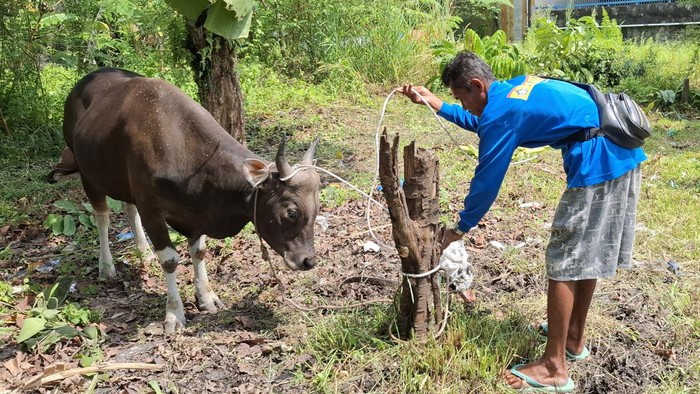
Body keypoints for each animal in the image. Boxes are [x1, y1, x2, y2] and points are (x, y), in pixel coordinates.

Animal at [60, 68, 322, 332]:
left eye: (317, 208)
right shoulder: (152, 211)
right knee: (102, 217)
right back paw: (106, 267)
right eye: (292, 212)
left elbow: (199, 251)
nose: (308, 261)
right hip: (86, 172)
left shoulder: (196, 210)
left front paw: (206, 297)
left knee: (128, 208)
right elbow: (169, 260)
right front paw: (174, 313)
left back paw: (144, 253)